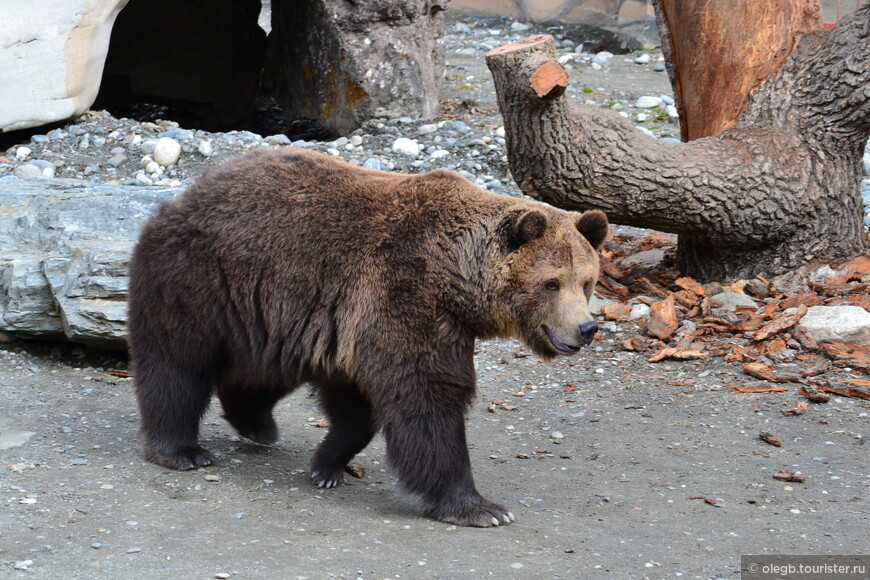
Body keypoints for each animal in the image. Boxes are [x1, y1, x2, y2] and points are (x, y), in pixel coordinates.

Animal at [127, 147, 608, 528]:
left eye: (586, 282)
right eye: (551, 283)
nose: (586, 328)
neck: (457, 280)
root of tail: (184, 195)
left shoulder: (348, 325)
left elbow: (356, 405)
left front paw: (327, 465)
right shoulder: (403, 295)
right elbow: (426, 396)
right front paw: (479, 507)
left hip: (268, 314)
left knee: (260, 371)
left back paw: (257, 424)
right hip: (201, 279)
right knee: (178, 364)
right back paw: (181, 449)